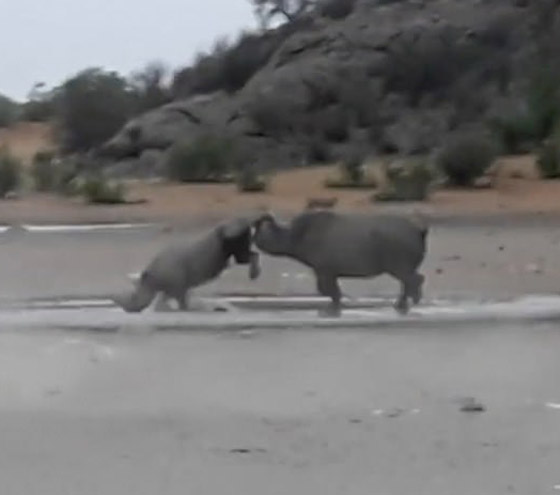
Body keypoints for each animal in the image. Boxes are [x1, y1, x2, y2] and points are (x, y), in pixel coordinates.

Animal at [114, 218, 262, 314]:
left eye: (134, 297)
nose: (129, 310)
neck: (150, 281)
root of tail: (246, 222)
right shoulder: (174, 287)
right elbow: (167, 300)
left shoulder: (177, 286)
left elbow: (180, 303)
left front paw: (186, 311)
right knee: (242, 256)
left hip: (232, 234)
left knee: (242, 257)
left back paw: (254, 275)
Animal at [254, 211, 428, 316]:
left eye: (261, 233)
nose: (253, 238)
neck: (295, 236)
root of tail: (419, 232)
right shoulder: (330, 272)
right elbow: (332, 290)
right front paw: (336, 305)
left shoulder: (324, 271)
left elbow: (327, 290)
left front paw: (332, 308)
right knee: (408, 281)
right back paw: (403, 303)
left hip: (398, 262)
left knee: (412, 279)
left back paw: (408, 302)